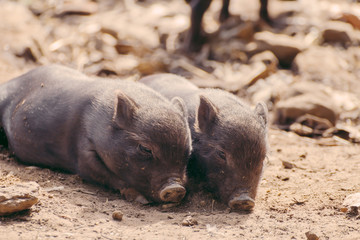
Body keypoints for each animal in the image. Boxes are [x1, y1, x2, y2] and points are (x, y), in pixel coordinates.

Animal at [0, 65, 191, 204]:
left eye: (187, 151)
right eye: (145, 149)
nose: (175, 188)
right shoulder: (83, 150)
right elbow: (95, 171)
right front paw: (140, 199)